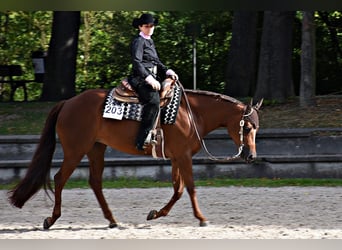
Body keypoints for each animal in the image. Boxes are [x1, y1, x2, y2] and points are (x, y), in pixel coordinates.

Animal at [8, 81, 262, 229]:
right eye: (248, 127)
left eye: (257, 127)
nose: (251, 156)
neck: (192, 113)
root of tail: (68, 102)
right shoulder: (183, 156)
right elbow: (189, 187)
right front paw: (201, 218)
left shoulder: (177, 157)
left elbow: (178, 189)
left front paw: (156, 214)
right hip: (75, 150)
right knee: (60, 178)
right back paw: (51, 219)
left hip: (96, 148)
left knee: (95, 182)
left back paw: (112, 220)